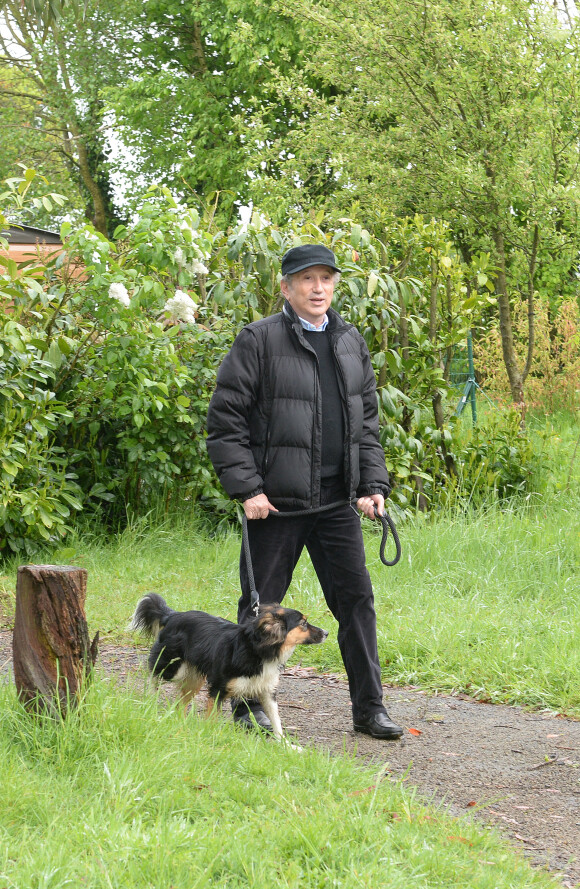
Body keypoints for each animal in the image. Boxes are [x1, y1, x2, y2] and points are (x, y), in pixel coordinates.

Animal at [133, 596, 330, 736]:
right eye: (303, 623)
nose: (327, 632)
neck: (257, 650)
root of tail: (173, 615)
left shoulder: (267, 690)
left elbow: (277, 722)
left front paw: (287, 747)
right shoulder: (218, 689)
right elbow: (212, 717)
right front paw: (209, 735)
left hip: (194, 679)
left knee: (180, 703)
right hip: (173, 667)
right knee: (153, 674)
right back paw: (148, 700)